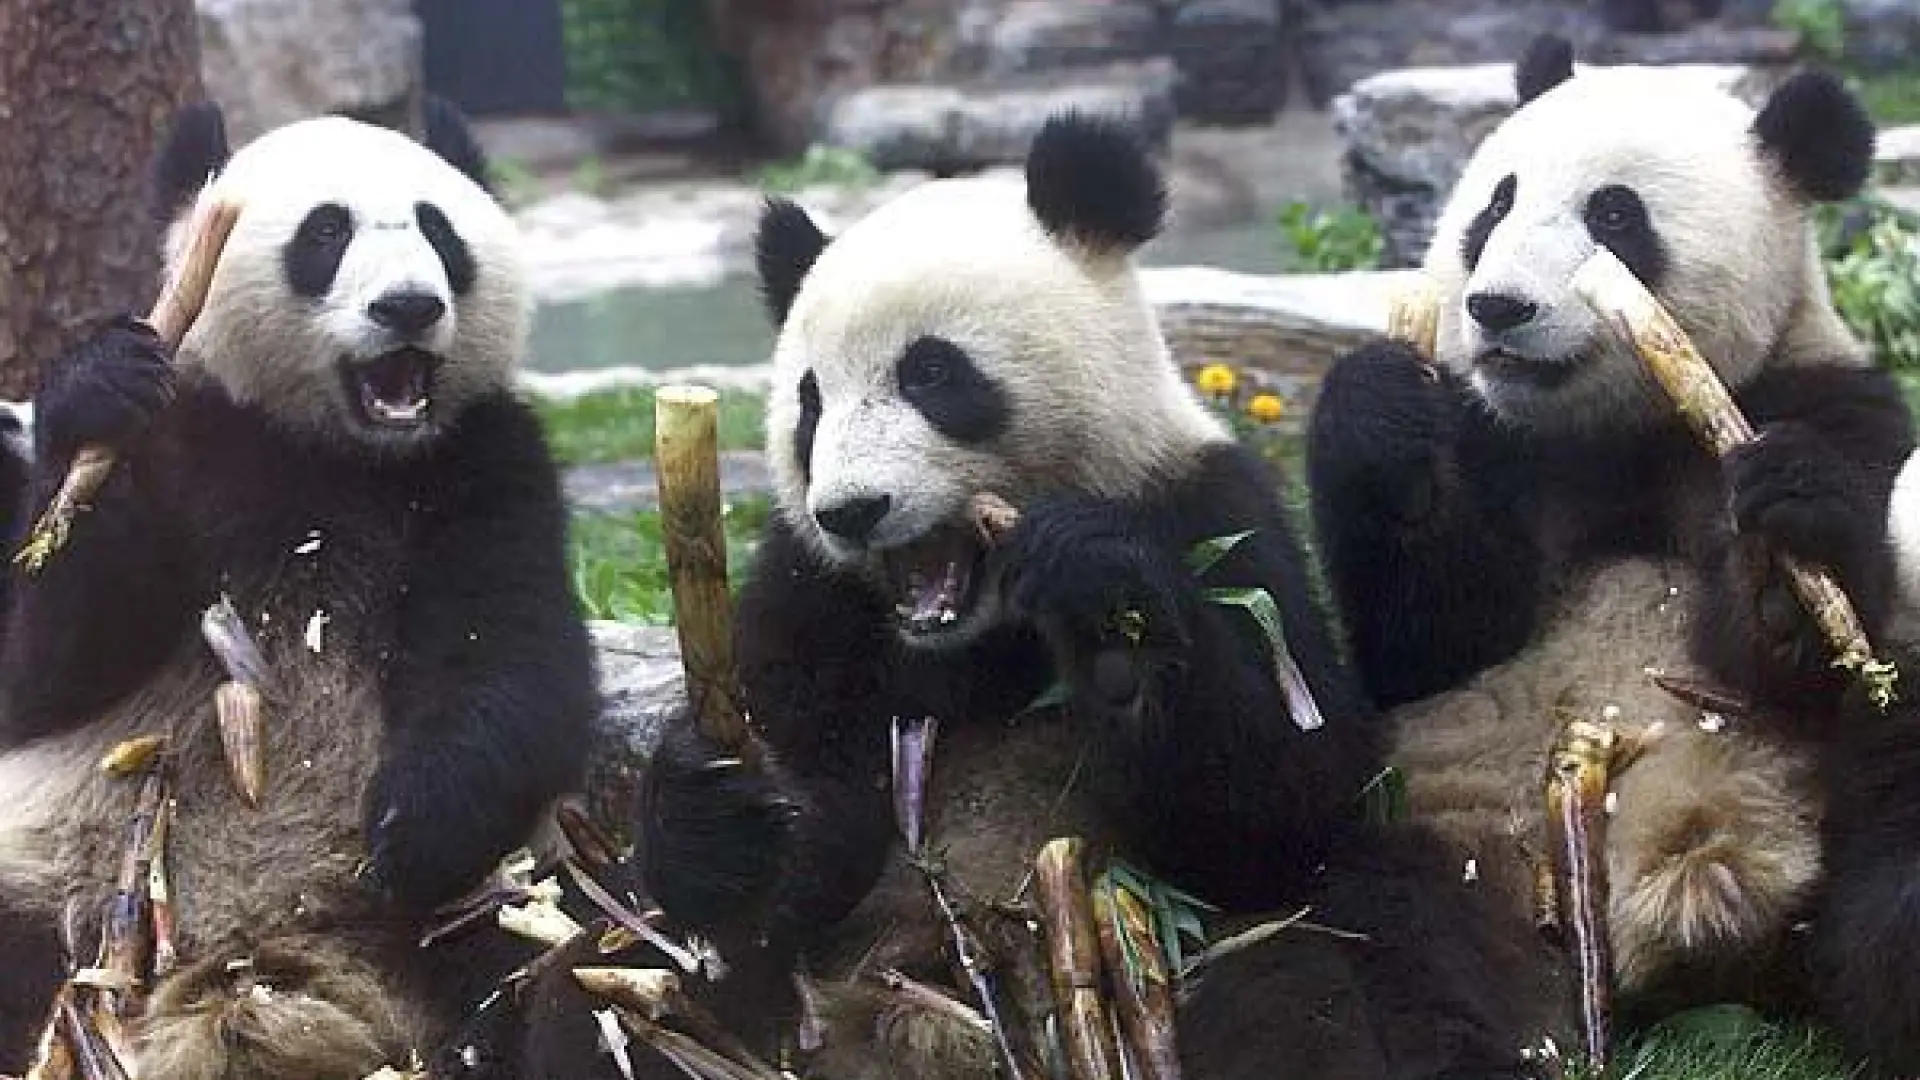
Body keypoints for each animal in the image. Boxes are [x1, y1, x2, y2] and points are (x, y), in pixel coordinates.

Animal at [0, 101, 597, 1078]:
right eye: (325, 233)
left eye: (439, 232)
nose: (410, 306)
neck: (333, 452)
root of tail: (249, 962)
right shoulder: (193, 440)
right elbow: (46, 673)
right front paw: (98, 385)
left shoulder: (484, 461)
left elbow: (513, 658)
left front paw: (411, 827)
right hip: (54, 875)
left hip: (487, 903)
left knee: (558, 953)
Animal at [496, 113, 1554, 1080]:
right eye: (809, 401)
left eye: (931, 371)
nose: (852, 510)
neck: (976, 634)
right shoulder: (810, 593)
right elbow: (797, 835)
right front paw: (724, 821)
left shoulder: (1212, 514)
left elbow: (1286, 792)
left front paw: (1107, 619)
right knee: (592, 995)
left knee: (1335, 962)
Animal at [1307, 32, 1913, 1027]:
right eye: (1496, 203)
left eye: (1616, 215)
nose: (1497, 306)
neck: (1612, 437)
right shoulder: (1494, 439)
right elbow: (1432, 644)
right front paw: (1384, 425)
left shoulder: (1824, 401)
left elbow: (1796, 666)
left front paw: (1781, 554)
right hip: (1434, 834)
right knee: (1342, 951)